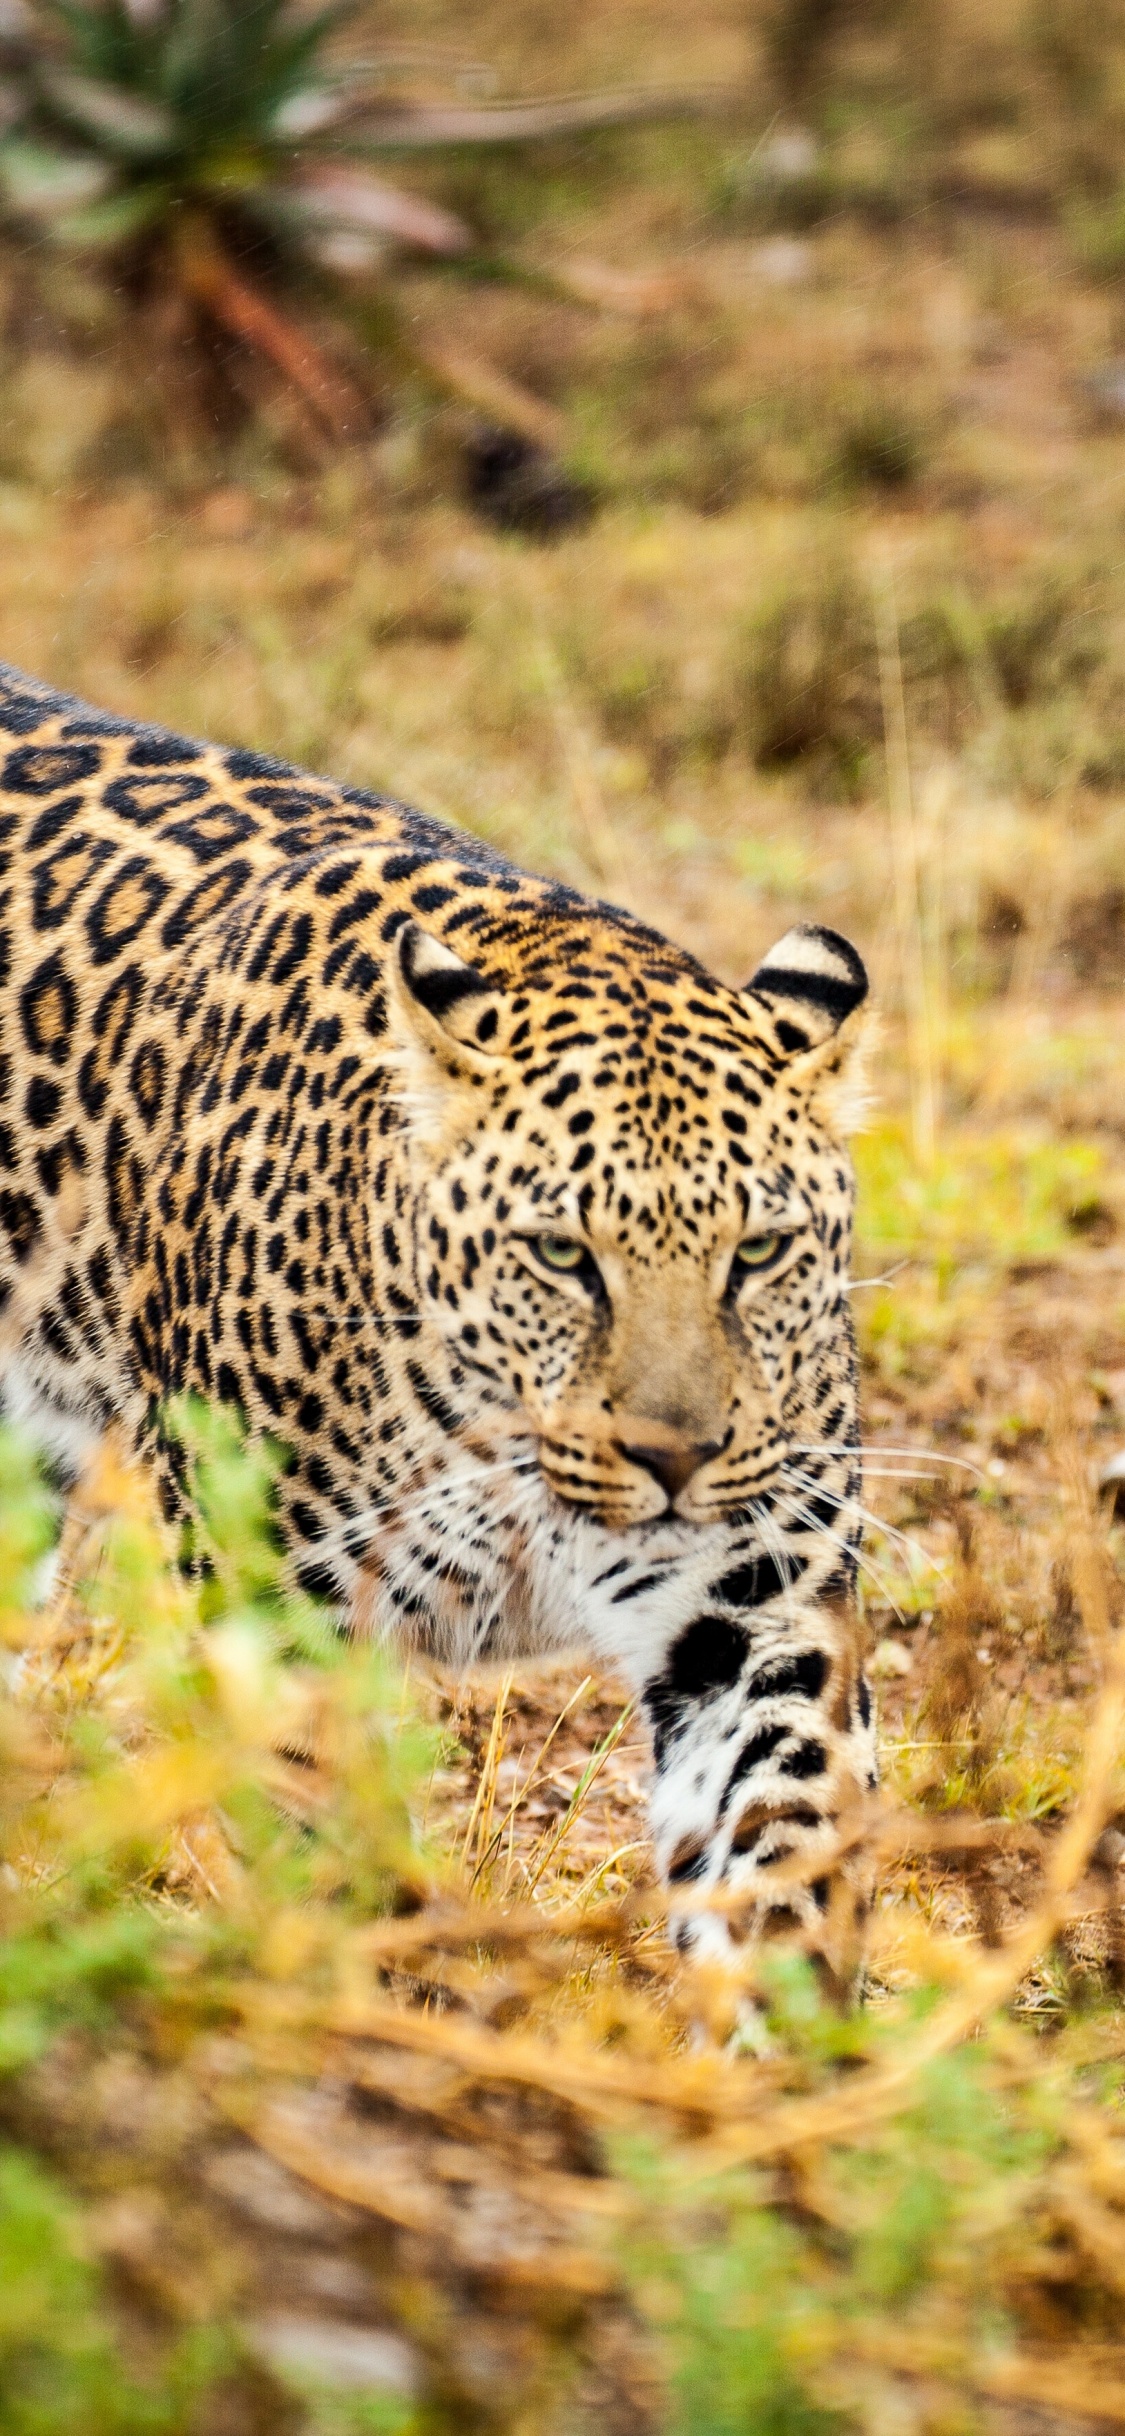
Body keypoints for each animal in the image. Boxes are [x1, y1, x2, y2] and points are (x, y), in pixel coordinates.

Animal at [0, 658, 878, 1983]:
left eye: (759, 1252)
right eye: (563, 1256)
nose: (675, 1459)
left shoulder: (754, 1607)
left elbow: (781, 1837)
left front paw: (791, 2022)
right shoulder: (273, 1604)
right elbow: (323, 1850)